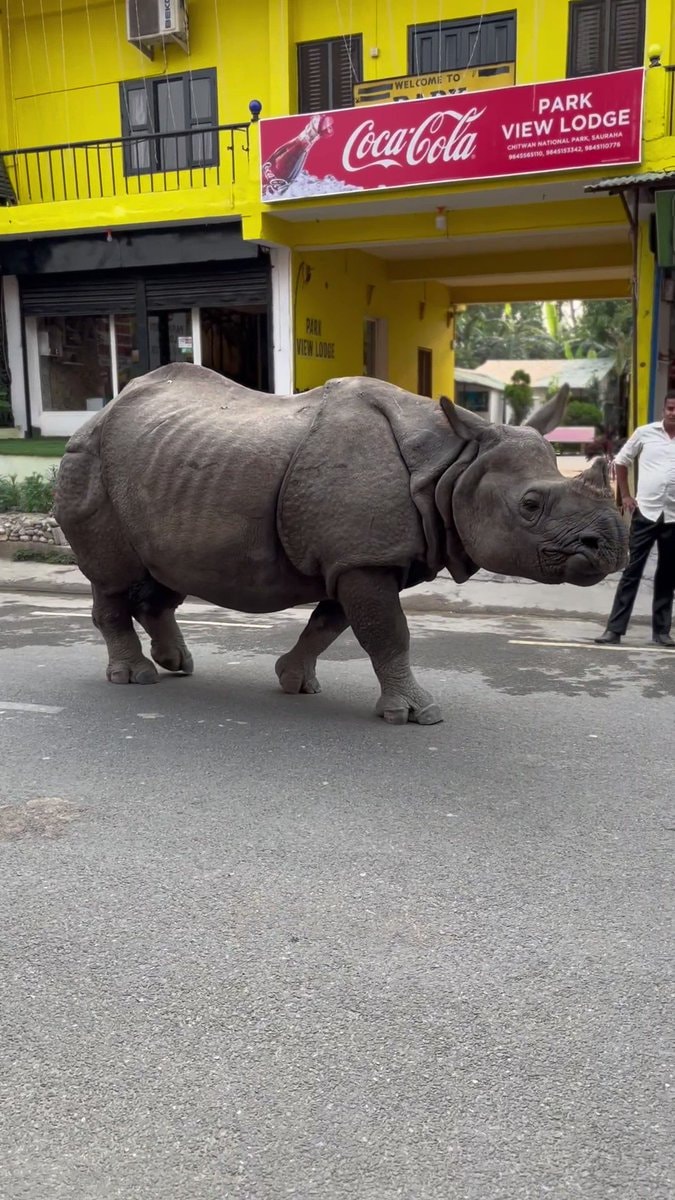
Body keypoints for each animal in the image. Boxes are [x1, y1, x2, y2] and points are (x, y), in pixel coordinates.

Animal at [54, 363, 627, 725]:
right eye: (530, 504)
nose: (613, 547)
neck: (453, 464)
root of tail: (101, 411)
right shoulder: (363, 559)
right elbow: (388, 633)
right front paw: (417, 714)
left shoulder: (355, 557)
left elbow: (331, 626)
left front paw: (294, 682)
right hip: (88, 459)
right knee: (113, 577)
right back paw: (136, 678)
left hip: (162, 467)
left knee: (166, 573)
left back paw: (177, 663)